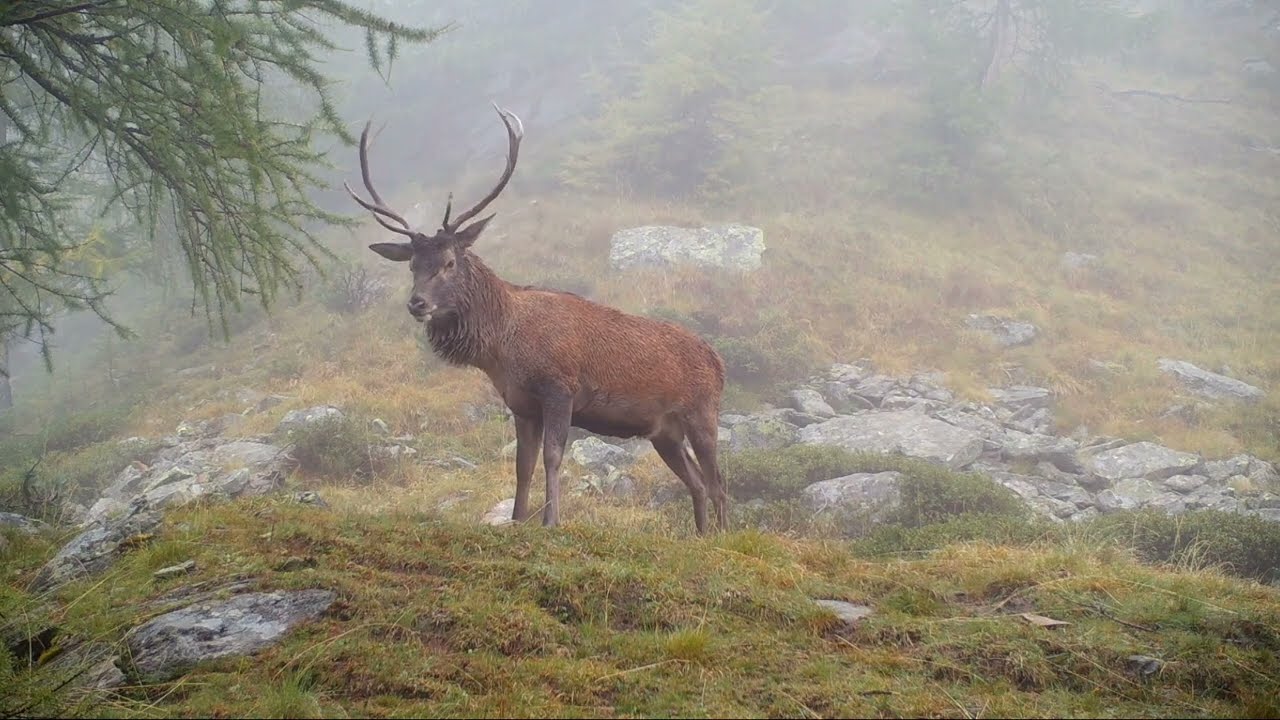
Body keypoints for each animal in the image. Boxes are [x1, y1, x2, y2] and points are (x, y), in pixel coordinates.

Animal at [343, 104, 729, 534]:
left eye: (449, 262)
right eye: (412, 265)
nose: (417, 304)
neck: (504, 348)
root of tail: (719, 361)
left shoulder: (559, 387)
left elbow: (553, 457)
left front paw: (550, 521)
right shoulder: (521, 404)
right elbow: (522, 466)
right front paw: (516, 518)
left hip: (702, 412)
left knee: (718, 483)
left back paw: (724, 536)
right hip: (664, 432)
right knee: (697, 482)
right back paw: (699, 537)